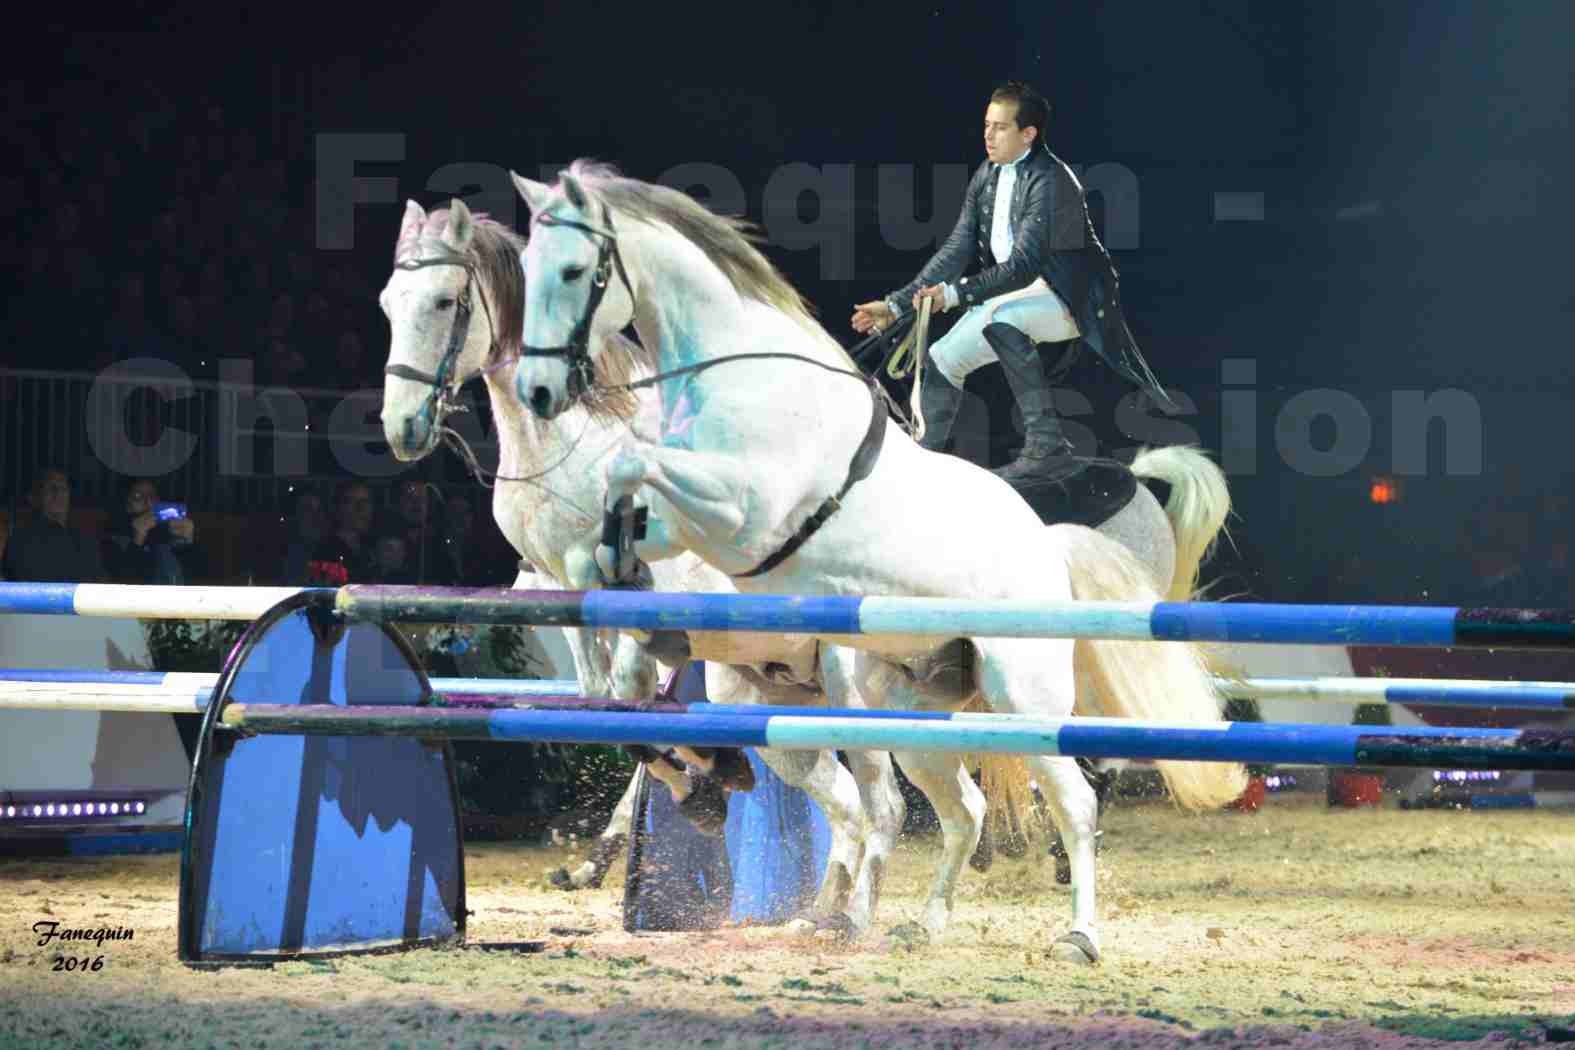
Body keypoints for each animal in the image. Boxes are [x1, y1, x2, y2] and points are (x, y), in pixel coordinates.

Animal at [374, 199, 907, 938]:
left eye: (446, 300)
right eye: (389, 303)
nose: (400, 428)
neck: (576, 436)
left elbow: (631, 693)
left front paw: (700, 784)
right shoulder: (560, 586)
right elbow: (606, 702)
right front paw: (695, 785)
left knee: (883, 798)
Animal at [510, 160, 1247, 963]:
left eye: (575, 270)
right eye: (528, 266)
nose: (537, 392)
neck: (746, 378)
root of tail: (1046, 542)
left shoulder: (743, 517)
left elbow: (630, 473)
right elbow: (608, 550)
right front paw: (662, 698)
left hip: (1021, 693)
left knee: (1071, 799)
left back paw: (1076, 934)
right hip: (916, 711)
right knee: (961, 808)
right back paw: (920, 922)